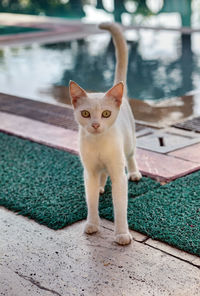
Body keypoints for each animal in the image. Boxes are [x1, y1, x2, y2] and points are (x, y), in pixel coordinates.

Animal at [69, 22, 141, 245]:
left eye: (106, 113)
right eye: (85, 113)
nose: (95, 125)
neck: (99, 142)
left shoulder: (118, 173)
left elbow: (120, 205)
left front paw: (122, 234)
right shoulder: (89, 171)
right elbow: (91, 200)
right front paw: (92, 224)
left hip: (130, 142)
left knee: (131, 156)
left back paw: (134, 173)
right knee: (102, 174)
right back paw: (101, 185)